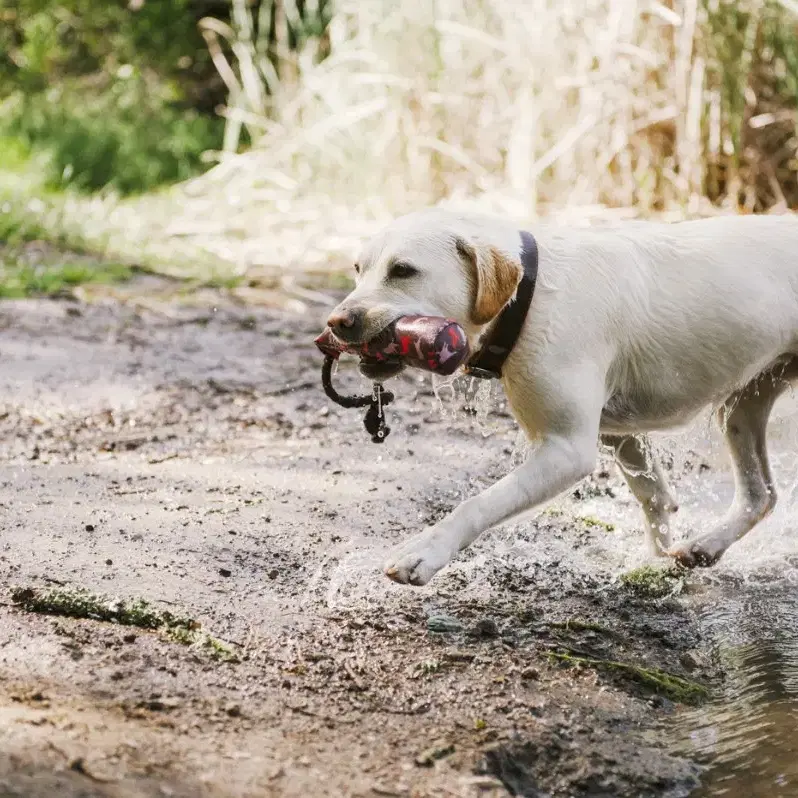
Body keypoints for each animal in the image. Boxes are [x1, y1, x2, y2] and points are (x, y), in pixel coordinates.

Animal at [326, 208, 798, 588]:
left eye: (403, 270)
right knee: (761, 495)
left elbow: (477, 504)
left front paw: (424, 552)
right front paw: (655, 561)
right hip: (742, 408)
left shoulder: (566, 449)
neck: (529, 294)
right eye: (358, 269)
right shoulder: (617, 433)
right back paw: (706, 547)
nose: (336, 322)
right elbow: (654, 498)